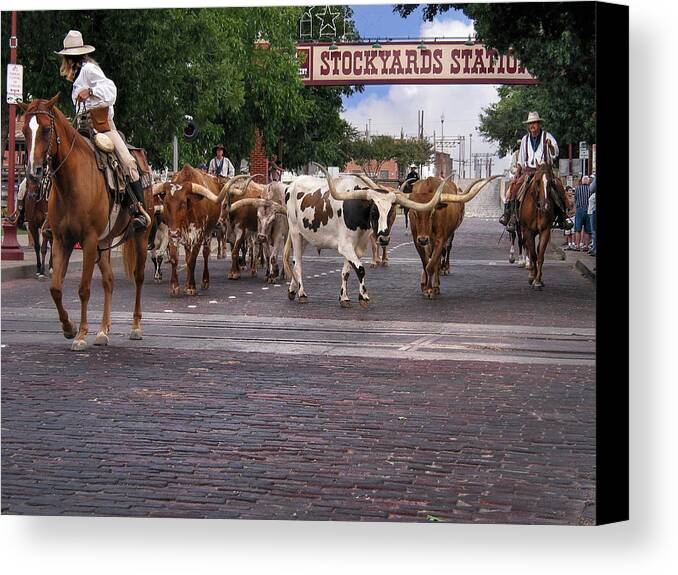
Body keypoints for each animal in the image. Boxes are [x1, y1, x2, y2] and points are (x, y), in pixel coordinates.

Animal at [18, 95, 150, 352]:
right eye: (25, 131)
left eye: (46, 129)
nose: (34, 172)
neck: (71, 183)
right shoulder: (62, 240)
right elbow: (55, 287)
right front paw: (69, 327)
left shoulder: (87, 240)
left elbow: (83, 289)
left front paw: (80, 334)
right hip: (104, 241)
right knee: (108, 280)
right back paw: (103, 331)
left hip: (140, 237)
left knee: (139, 277)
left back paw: (136, 327)